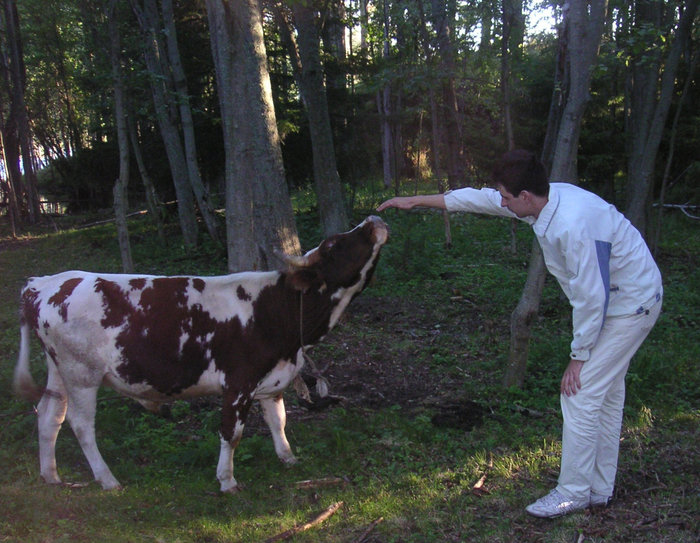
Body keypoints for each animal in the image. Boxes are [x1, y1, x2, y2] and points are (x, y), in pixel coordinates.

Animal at [12, 216, 388, 492]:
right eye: (333, 244)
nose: (374, 219)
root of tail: (42, 282)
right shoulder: (238, 382)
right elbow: (231, 433)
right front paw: (227, 480)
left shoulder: (272, 379)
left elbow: (278, 420)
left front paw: (288, 459)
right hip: (82, 374)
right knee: (80, 425)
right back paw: (107, 480)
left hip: (59, 371)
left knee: (49, 415)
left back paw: (52, 476)